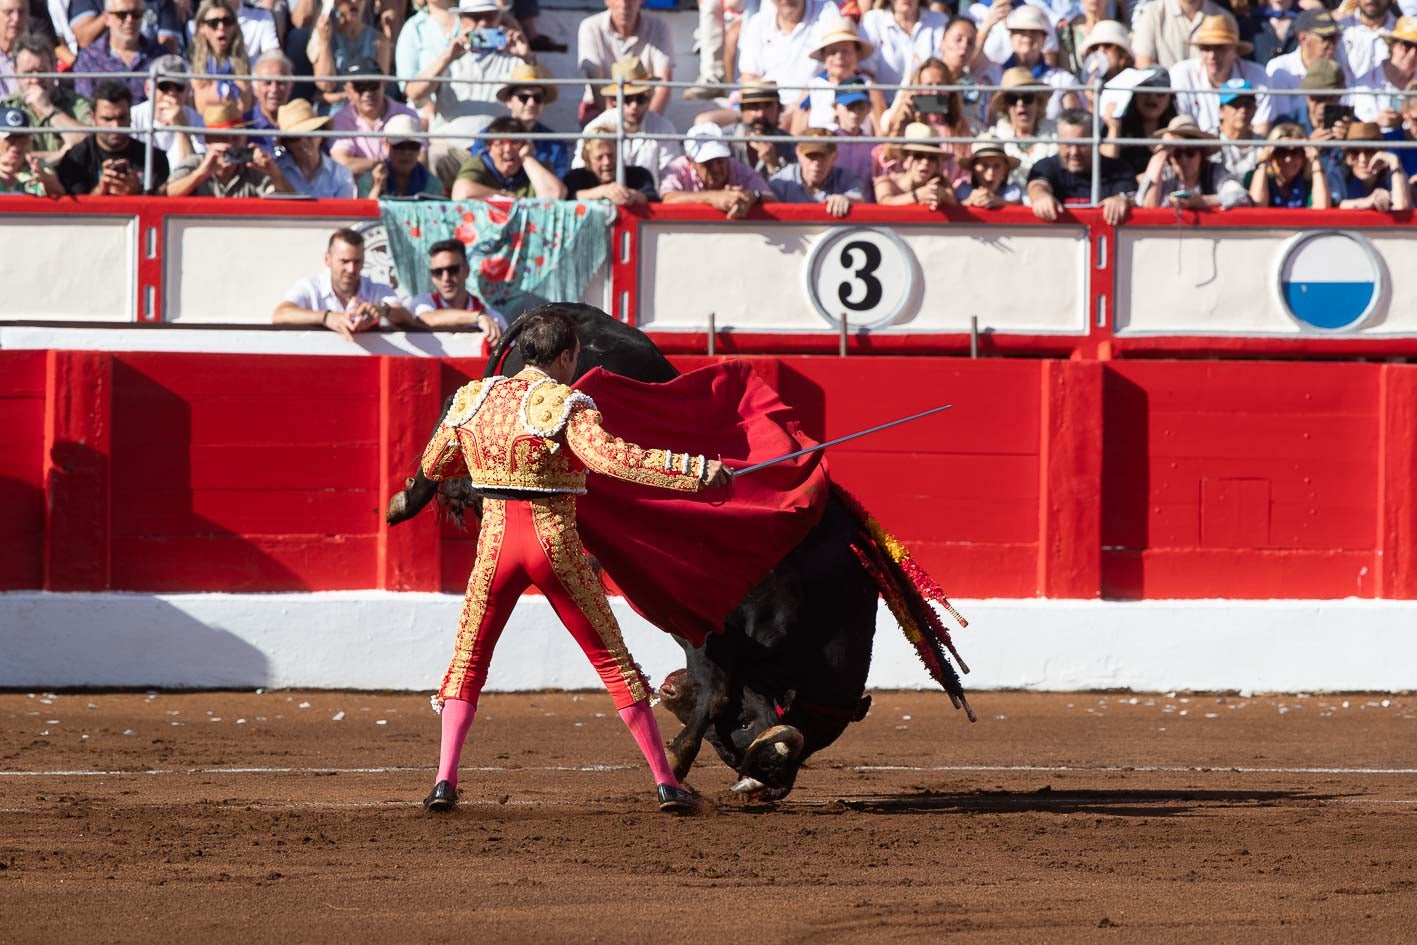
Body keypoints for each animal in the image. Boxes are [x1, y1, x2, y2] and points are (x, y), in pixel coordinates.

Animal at [382, 307, 969, 804]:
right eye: (773, 746)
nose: (765, 789)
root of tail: (564, 310)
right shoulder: (711, 631)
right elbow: (717, 696)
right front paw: (678, 765)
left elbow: (714, 695)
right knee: (455, 422)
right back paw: (413, 499)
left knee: (460, 434)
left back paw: (421, 496)